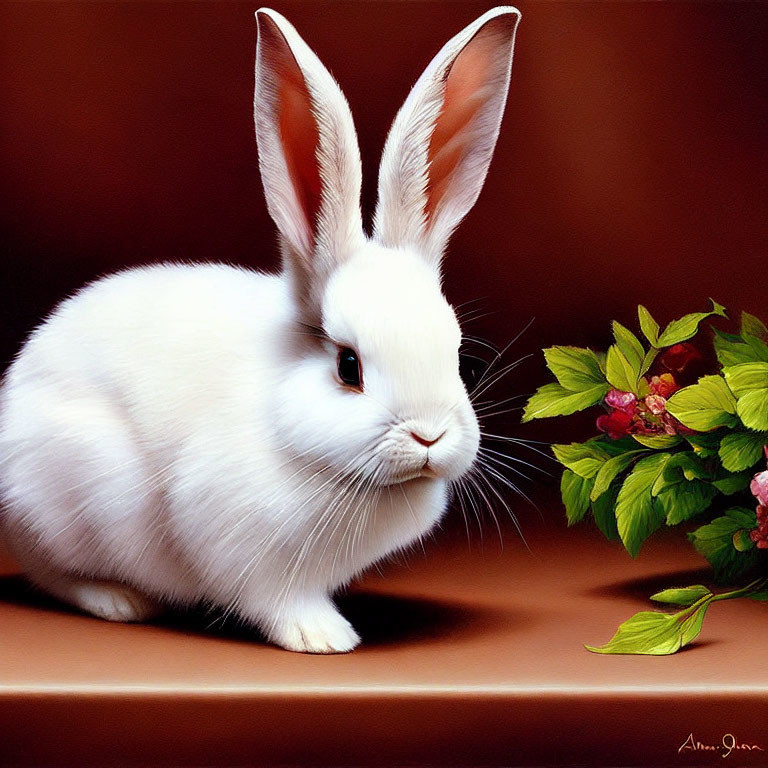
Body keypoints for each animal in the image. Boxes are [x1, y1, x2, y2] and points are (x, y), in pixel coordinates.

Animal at [0, 7, 520, 656]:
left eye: (458, 357)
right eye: (348, 366)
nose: (429, 436)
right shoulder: (238, 542)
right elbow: (275, 599)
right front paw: (324, 636)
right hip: (69, 502)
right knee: (52, 573)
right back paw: (119, 601)